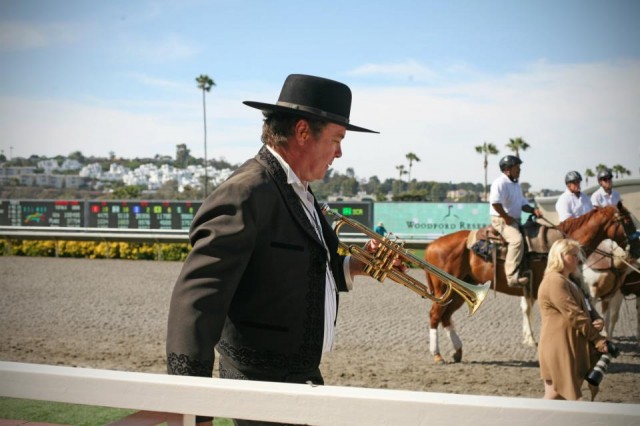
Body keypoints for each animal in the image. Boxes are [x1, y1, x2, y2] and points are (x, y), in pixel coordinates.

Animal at [422, 205, 636, 364]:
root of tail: (431, 246)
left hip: (461, 290)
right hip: (444, 290)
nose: (636, 248)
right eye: (626, 221)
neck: (557, 248)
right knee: (435, 315)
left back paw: (457, 351)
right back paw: (437, 354)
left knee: (446, 317)